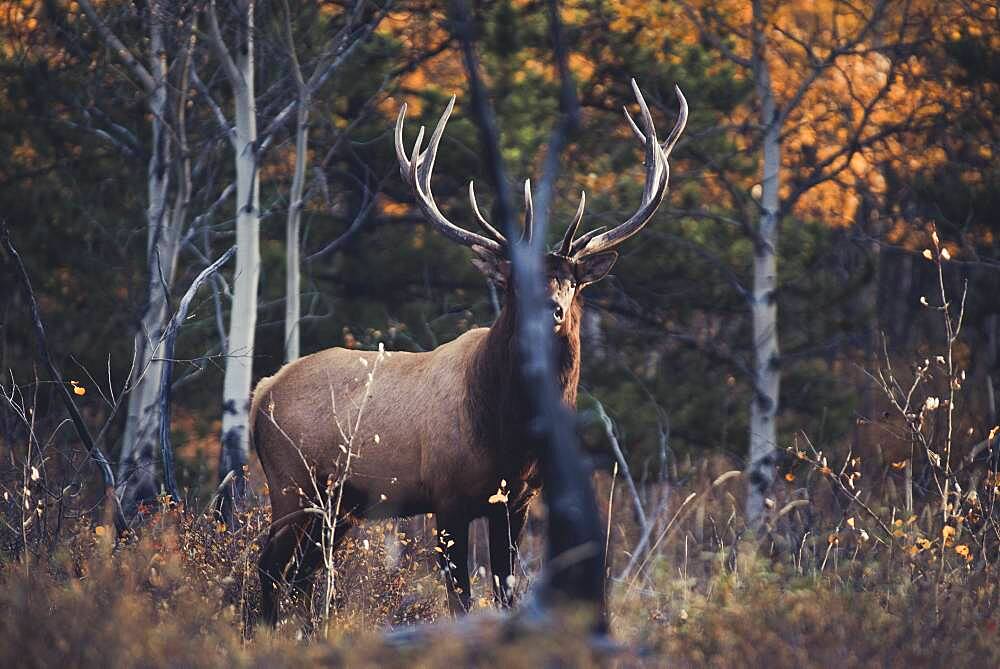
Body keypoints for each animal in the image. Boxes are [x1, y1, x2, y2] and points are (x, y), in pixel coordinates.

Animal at [252, 81, 688, 624]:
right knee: (269, 567)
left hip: (337, 505)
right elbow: (460, 598)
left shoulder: (517, 500)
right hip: (291, 482)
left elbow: (505, 590)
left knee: (302, 575)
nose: (550, 310)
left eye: (571, 280)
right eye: (514, 282)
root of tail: (262, 392)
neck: (509, 433)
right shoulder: (448, 496)